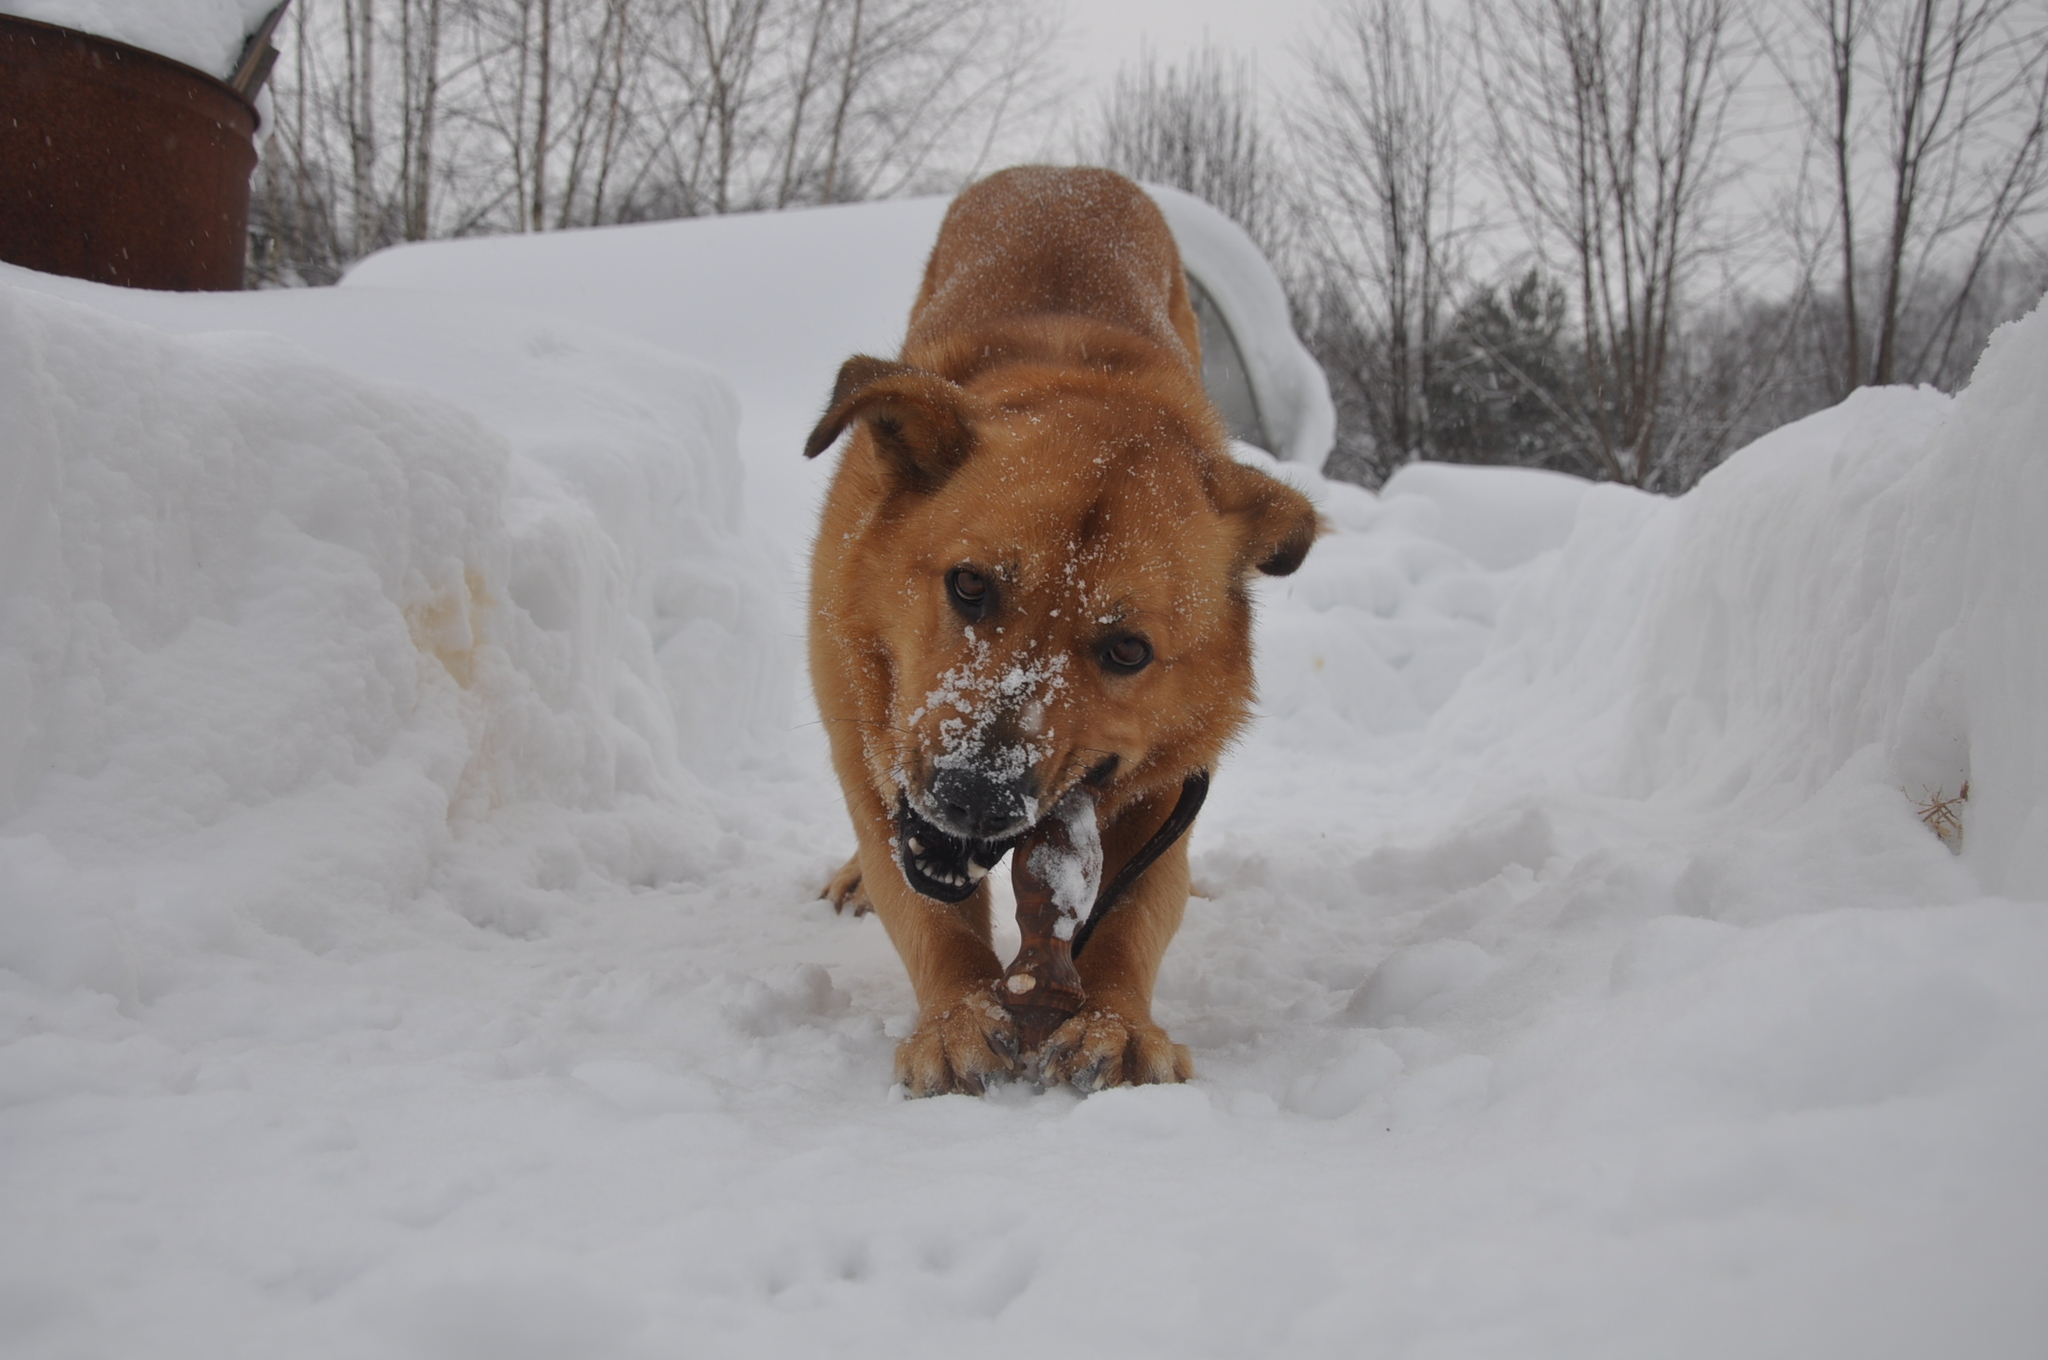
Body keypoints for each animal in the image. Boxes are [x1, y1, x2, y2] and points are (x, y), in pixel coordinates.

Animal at [798, 166, 1310, 1097]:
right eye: (969, 584)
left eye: (1128, 650)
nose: (974, 796)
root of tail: (1061, 173)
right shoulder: (871, 752)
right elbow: (924, 910)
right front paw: (957, 1015)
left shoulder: (1167, 794)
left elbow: (1135, 911)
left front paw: (1117, 1019)